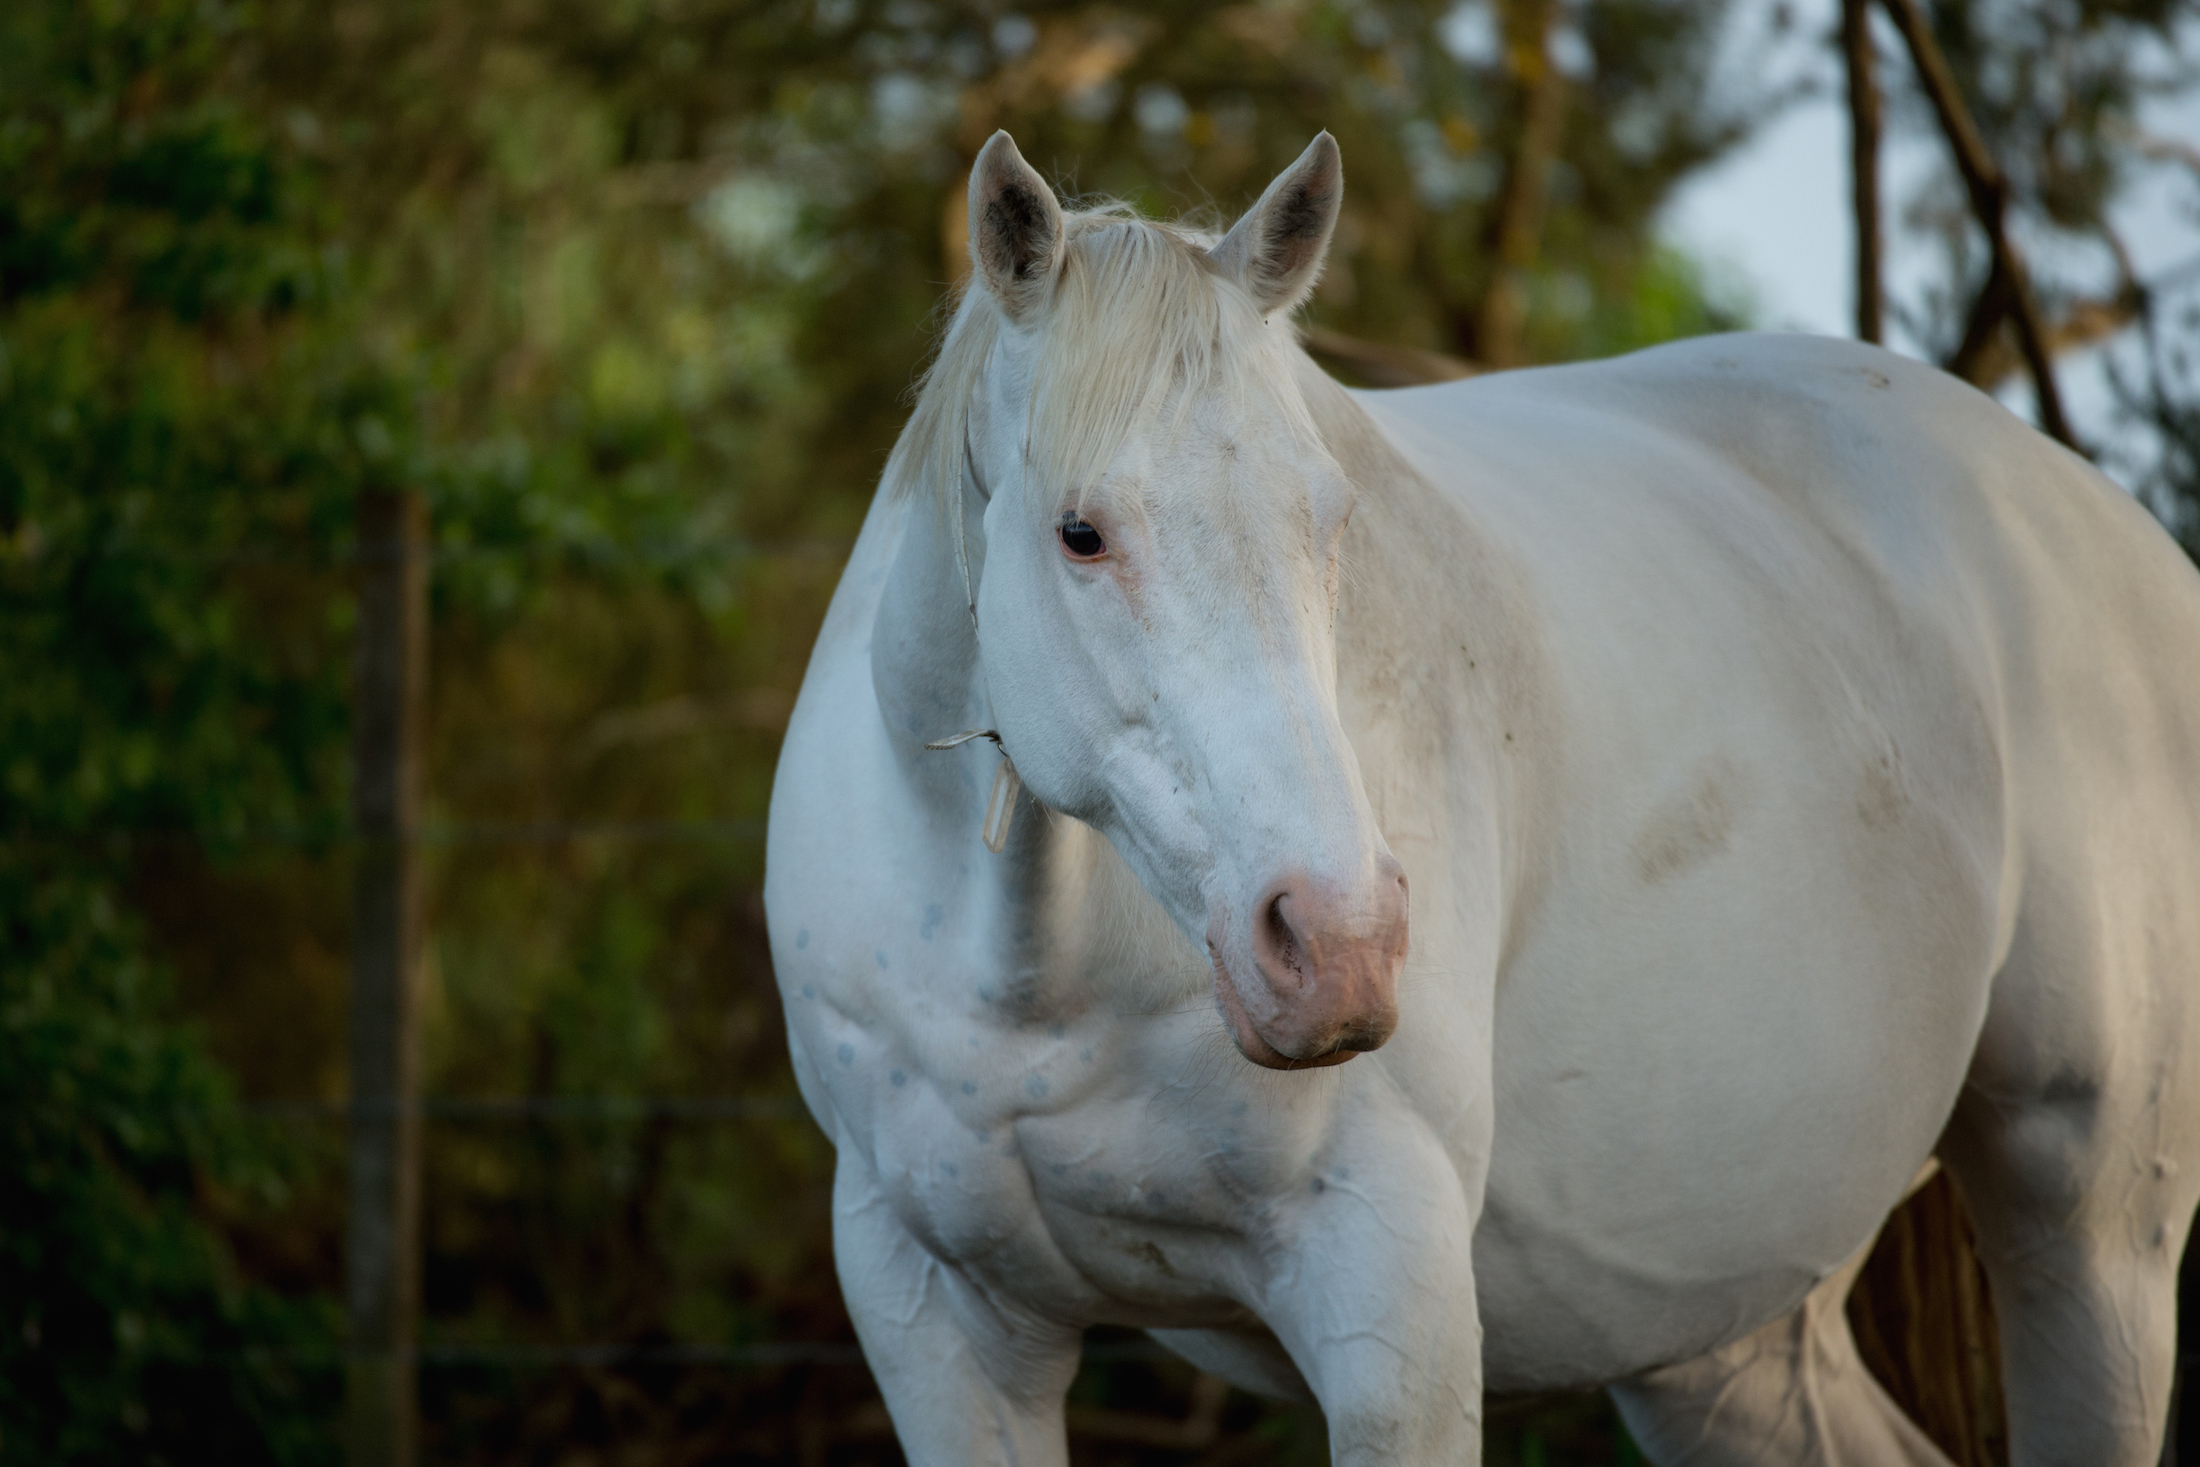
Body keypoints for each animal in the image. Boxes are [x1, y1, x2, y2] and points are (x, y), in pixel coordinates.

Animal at [765, 131, 2200, 1460]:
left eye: (1330, 521)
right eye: (1079, 532)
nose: (1339, 945)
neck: (1029, 975)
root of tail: (2111, 525)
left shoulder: (1386, 1294)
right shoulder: (938, 1317)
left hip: (2091, 1230)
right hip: (1725, 1332)